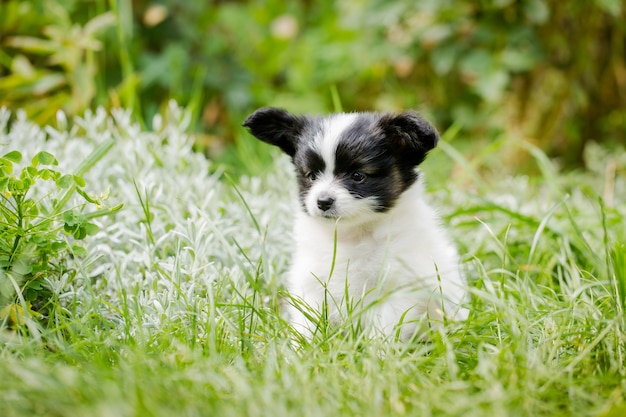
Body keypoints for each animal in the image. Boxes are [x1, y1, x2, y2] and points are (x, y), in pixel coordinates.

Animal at [241, 106, 466, 338]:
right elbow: (308, 321)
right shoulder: (311, 281)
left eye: (358, 176)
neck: (351, 234)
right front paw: (301, 345)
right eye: (311, 176)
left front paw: (376, 348)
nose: (323, 201)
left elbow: (384, 328)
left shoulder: (398, 286)